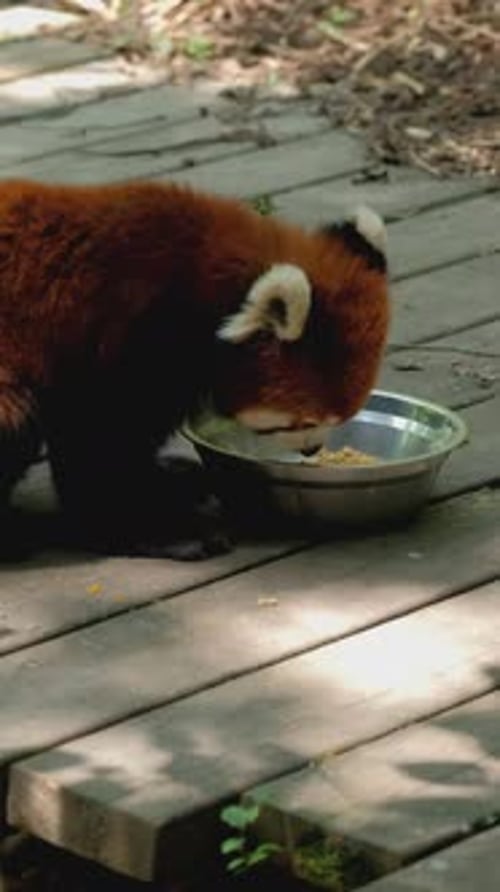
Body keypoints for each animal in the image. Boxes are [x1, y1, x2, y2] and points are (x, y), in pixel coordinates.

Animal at [0, 179, 389, 560]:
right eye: (302, 422)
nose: (312, 450)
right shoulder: (120, 338)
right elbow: (100, 442)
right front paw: (153, 529)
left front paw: (166, 483)